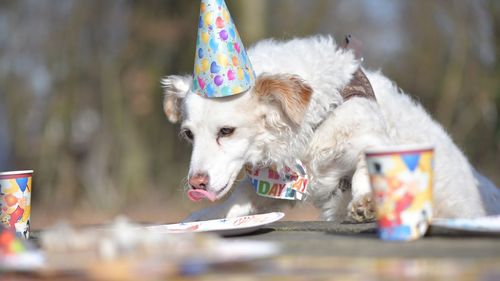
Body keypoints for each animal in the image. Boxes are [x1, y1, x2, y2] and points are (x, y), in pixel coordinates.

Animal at [162, 35, 498, 221]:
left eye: (226, 131)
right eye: (189, 134)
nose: (196, 184)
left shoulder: (373, 138)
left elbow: (365, 165)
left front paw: (366, 202)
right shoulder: (279, 185)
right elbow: (237, 200)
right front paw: (201, 218)